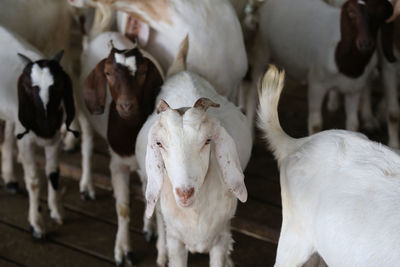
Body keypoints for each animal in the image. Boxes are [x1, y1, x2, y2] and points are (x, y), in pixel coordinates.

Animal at [0, 25, 79, 239]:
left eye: (59, 85)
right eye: (29, 88)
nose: (46, 122)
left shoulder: (54, 140)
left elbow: (53, 173)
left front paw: (57, 212)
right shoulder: (26, 142)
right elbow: (34, 181)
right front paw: (36, 224)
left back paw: (10, 178)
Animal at [76, 31, 164, 266]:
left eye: (142, 72)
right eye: (107, 72)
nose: (126, 105)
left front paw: (150, 228)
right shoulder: (117, 164)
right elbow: (123, 208)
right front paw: (124, 251)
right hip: (83, 111)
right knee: (87, 142)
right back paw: (87, 185)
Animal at [136, 36, 252, 267]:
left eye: (207, 141)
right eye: (160, 144)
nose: (185, 192)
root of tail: (183, 71)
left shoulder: (220, 237)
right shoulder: (176, 240)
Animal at [260, 0, 394, 135]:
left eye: (380, 13)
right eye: (351, 12)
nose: (365, 44)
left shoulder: (354, 90)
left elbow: (353, 123)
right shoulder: (316, 86)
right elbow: (316, 124)